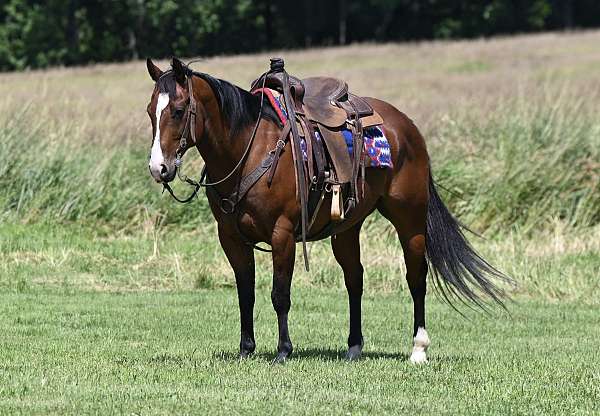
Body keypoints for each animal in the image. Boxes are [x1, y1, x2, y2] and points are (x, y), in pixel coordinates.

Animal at [144, 57, 506, 364]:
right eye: (150, 111)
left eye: (178, 110)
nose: (158, 168)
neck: (250, 147)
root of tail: (407, 127)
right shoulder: (231, 238)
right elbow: (245, 293)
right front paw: (246, 349)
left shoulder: (282, 233)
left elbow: (280, 294)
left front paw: (283, 351)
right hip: (347, 229)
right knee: (354, 279)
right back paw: (354, 347)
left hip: (410, 220)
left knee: (416, 278)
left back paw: (418, 349)